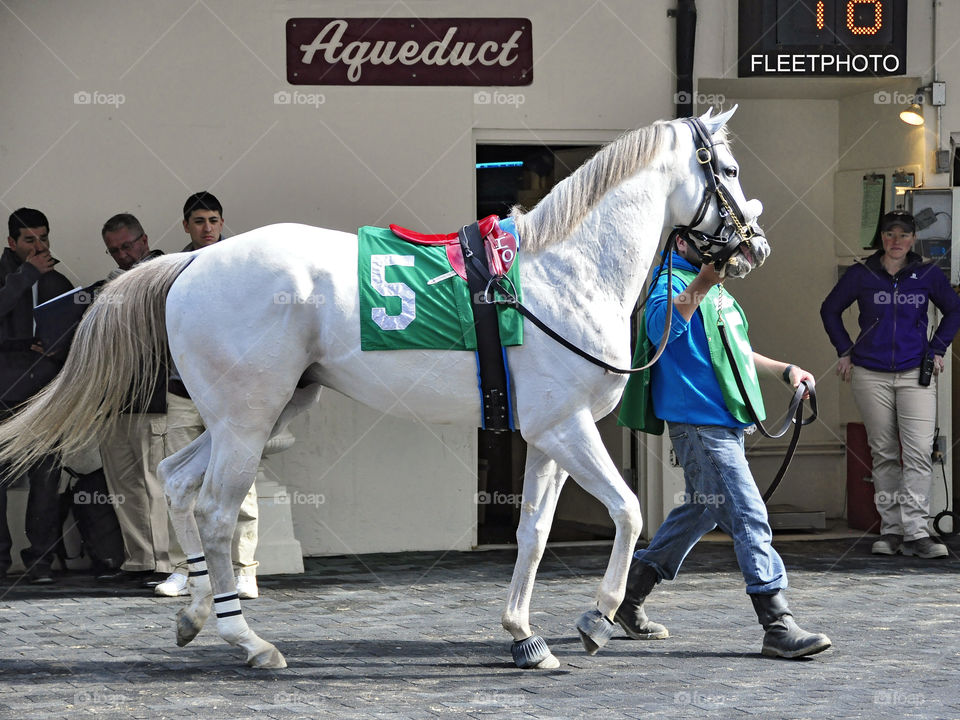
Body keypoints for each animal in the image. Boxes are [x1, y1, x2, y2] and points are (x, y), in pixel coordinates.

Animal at [0, 107, 764, 668]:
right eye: (726, 168)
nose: (754, 245)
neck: (562, 273)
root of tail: (190, 263)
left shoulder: (548, 433)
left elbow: (534, 532)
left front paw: (523, 634)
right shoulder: (568, 429)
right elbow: (629, 512)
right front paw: (596, 619)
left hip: (242, 418)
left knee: (178, 481)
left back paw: (194, 613)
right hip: (248, 422)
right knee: (216, 510)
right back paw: (249, 641)